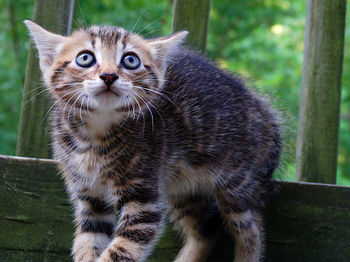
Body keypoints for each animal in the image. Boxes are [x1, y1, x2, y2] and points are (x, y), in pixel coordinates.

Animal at [24, 18, 282, 262]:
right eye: (85, 58)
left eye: (130, 60)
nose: (109, 75)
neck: (95, 134)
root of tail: (266, 112)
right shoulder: (90, 197)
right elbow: (89, 242)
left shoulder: (143, 199)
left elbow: (120, 250)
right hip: (183, 188)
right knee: (207, 228)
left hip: (237, 182)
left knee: (251, 231)